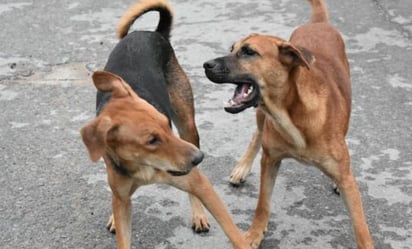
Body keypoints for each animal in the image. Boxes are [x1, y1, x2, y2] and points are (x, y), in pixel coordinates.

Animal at [79, 0, 249, 249]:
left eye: (165, 123)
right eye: (151, 140)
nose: (199, 157)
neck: (143, 165)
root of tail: (154, 32)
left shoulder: (200, 183)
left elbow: (234, 232)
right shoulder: (121, 193)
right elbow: (122, 225)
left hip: (188, 126)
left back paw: (198, 215)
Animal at [203, 0, 374, 249]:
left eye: (249, 52)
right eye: (232, 48)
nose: (206, 64)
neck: (291, 114)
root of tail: (318, 23)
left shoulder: (348, 183)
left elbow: (361, 228)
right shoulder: (270, 160)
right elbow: (263, 204)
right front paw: (254, 234)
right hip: (260, 116)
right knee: (256, 134)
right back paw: (242, 168)